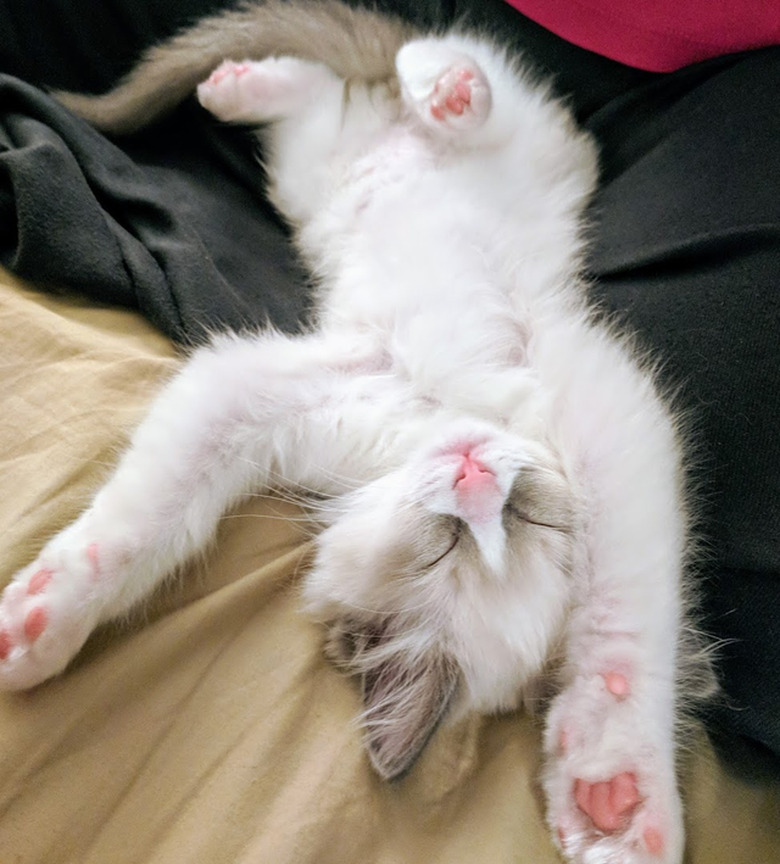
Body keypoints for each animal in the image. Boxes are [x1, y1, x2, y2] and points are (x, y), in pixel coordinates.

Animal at [0, 3, 712, 860]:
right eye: (458, 536)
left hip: (310, 173)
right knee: (421, 72)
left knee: (326, 100)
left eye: (513, 522)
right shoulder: (596, 401)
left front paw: (613, 787)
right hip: (521, 143)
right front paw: (46, 618)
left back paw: (257, 86)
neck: (436, 418)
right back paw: (434, 95)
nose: (478, 474)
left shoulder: (271, 395)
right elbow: (147, 517)